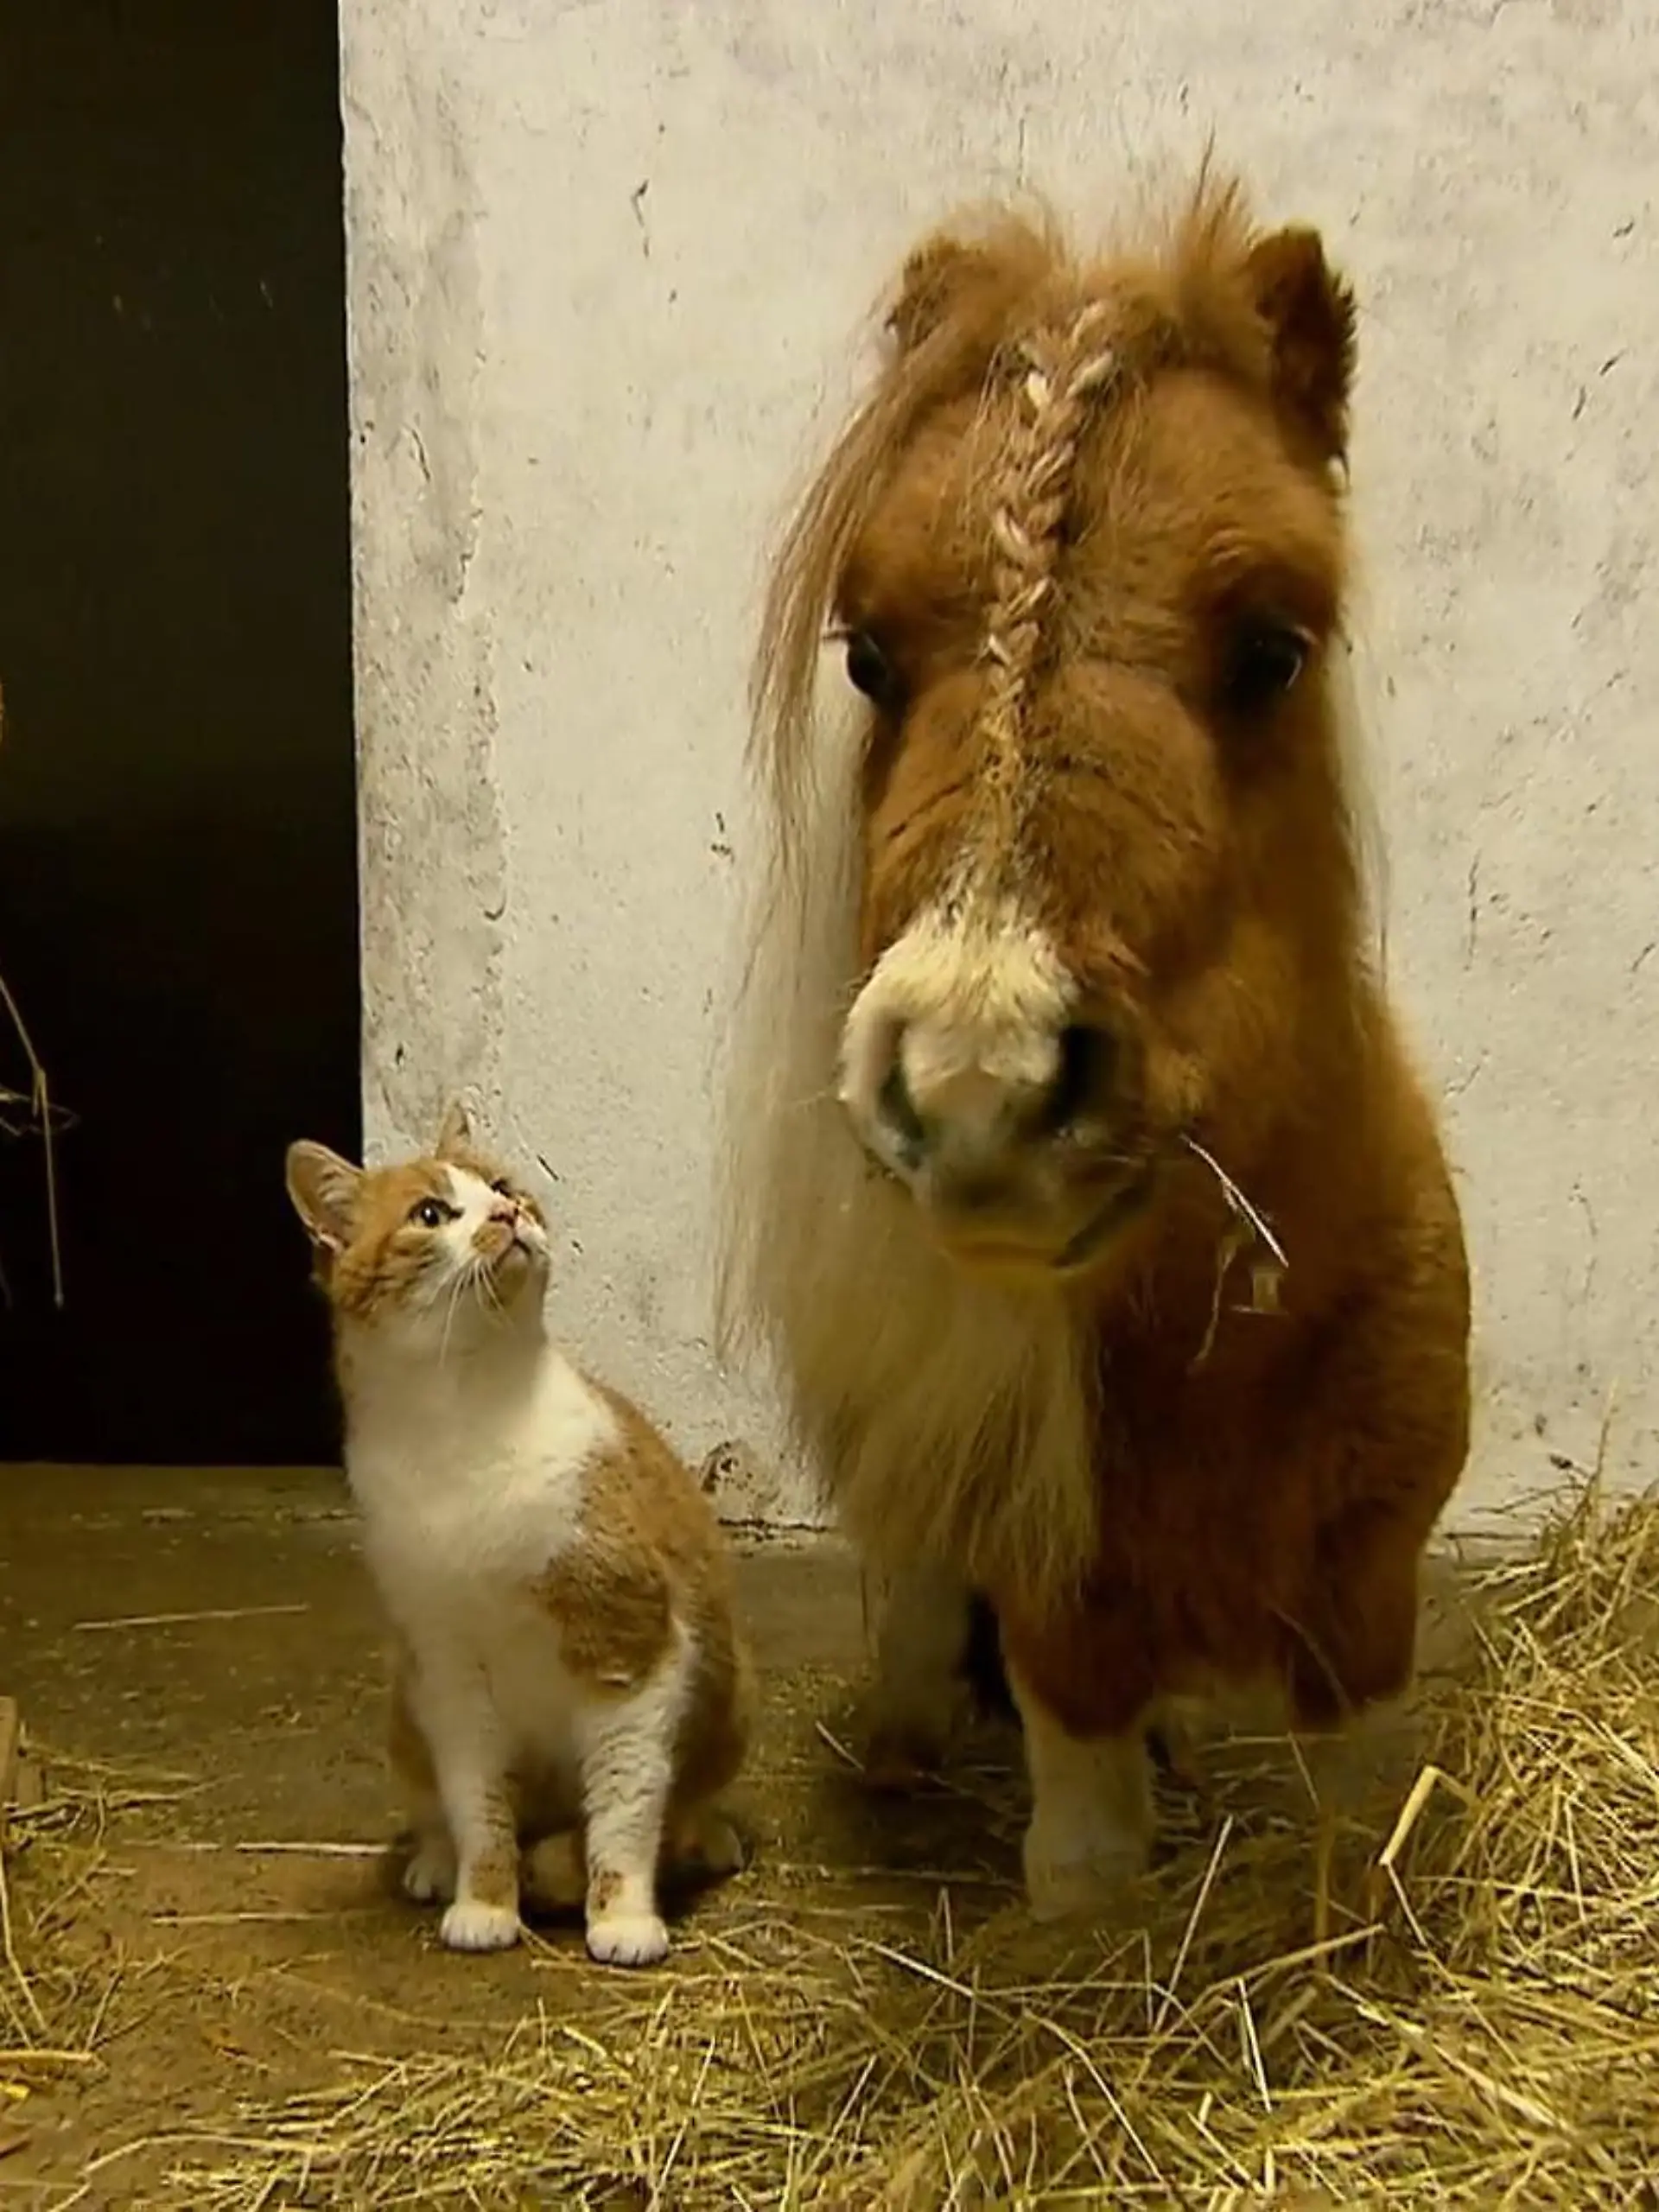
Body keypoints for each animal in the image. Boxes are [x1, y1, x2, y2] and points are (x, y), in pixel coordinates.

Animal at [719, 169, 1471, 1919]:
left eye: (1273, 644)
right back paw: (908, 1735)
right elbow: (1083, 1853)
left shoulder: (1371, 1582)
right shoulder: (1060, 1596)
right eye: (867, 653)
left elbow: (1357, 1790)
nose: (975, 1086)